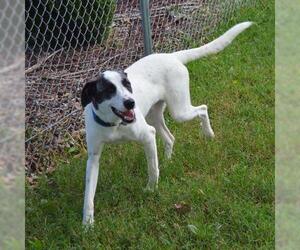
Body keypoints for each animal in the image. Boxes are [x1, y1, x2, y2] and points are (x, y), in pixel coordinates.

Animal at [81, 21, 252, 225]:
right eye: (108, 90)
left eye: (127, 85)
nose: (131, 102)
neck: (114, 124)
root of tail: (172, 56)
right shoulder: (93, 158)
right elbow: (88, 195)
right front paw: (87, 224)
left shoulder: (147, 135)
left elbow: (152, 169)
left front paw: (151, 190)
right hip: (154, 116)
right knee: (170, 138)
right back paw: (169, 161)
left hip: (179, 111)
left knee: (202, 109)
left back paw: (208, 134)